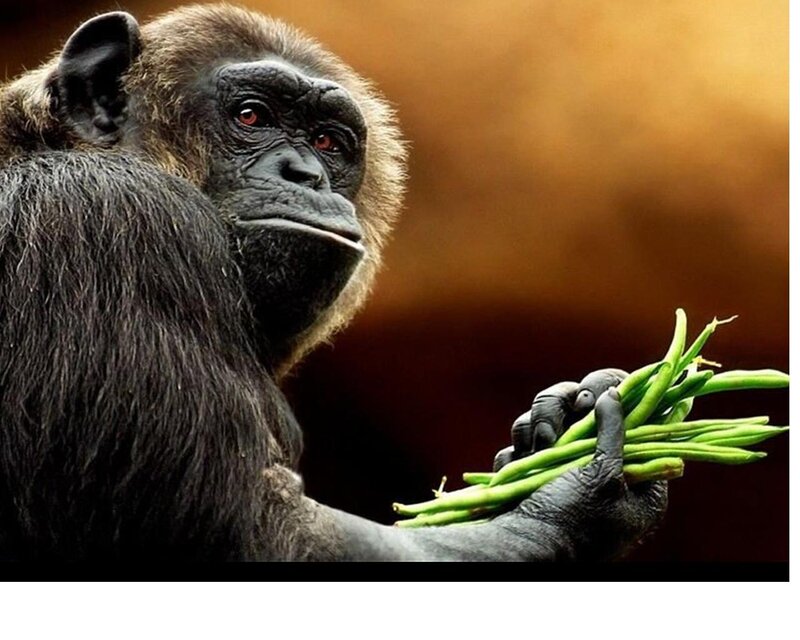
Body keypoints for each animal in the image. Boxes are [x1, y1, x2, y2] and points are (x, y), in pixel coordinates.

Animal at [0, 5, 666, 561]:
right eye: (252, 115)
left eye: (327, 141)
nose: (305, 173)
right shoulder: (114, 225)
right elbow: (262, 530)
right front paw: (571, 496)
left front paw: (559, 418)